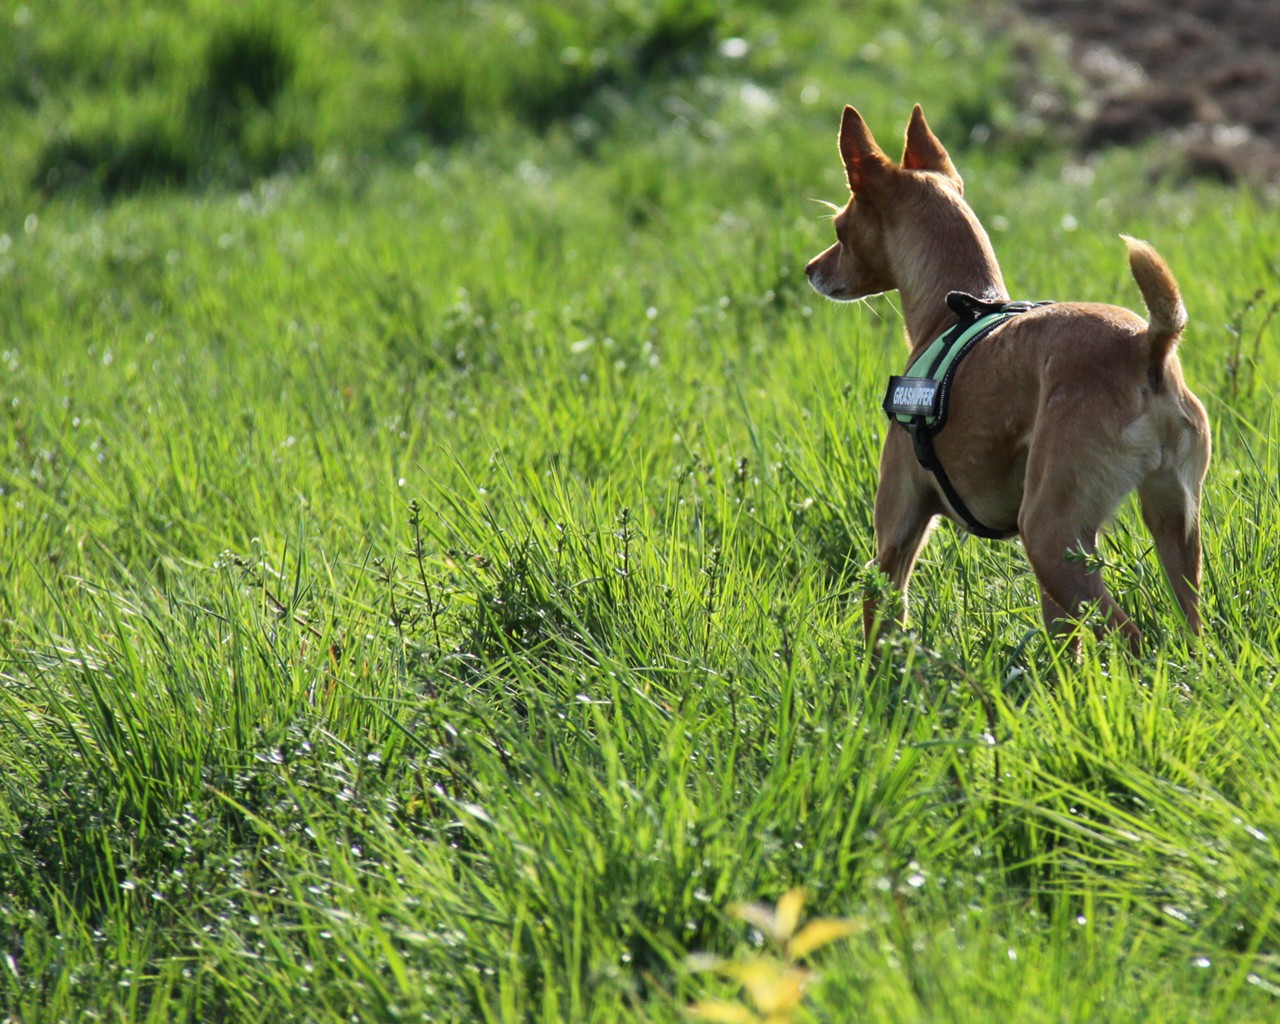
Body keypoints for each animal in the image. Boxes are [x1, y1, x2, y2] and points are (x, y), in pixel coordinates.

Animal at [803, 101, 1213, 647]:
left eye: (840, 230)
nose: (810, 268)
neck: (958, 309)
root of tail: (1146, 345)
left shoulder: (893, 539)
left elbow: (882, 628)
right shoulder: (1057, 586)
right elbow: (1063, 639)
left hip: (1049, 536)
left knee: (1134, 639)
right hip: (1168, 528)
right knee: (1191, 630)